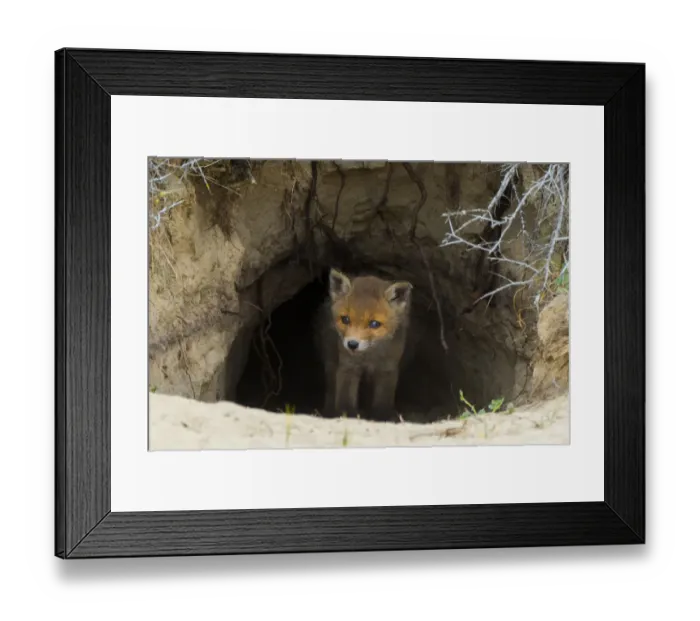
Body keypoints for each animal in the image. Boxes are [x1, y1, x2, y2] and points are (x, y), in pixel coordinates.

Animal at [314, 267, 413, 421]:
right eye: (345, 319)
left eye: (374, 324)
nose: (352, 344)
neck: (370, 356)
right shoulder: (348, 366)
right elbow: (345, 399)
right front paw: (347, 415)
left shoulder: (387, 369)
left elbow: (382, 401)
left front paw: (381, 417)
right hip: (330, 360)